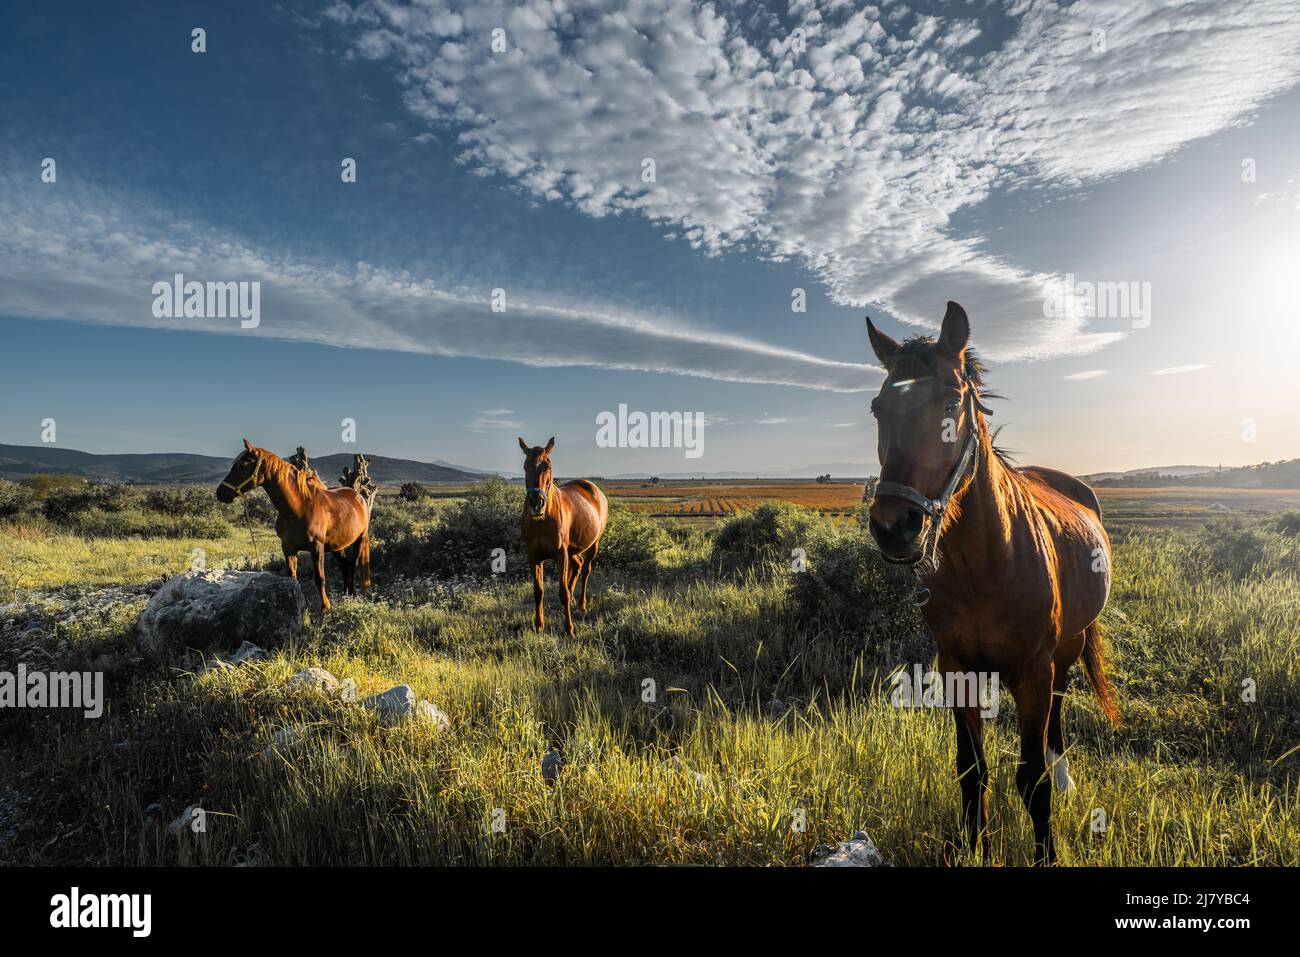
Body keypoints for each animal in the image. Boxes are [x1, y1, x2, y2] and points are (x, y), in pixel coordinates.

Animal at [215, 439, 372, 612]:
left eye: (242, 465)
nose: (220, 493)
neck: (300, 507)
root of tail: (359, 497)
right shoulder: (288, 547)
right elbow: (292, 577)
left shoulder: (317, 547)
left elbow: (320, 578)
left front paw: (325, 607)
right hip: (336, 544)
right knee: (345, 564)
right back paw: (346, 594)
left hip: (359, 539)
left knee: (353, 563)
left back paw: (352, 593)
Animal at [518, 437, 609, 638]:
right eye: (525, 466)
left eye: (548, 466)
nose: (536, 504)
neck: (542, 520)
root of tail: (594, 489)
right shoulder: (534, 556)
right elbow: (538, 591)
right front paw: (539, 625)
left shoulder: (561, 554)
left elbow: (563, 592)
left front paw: (569, 629)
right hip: (572, 550)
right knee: (577, 565)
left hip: (592, 545)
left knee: (585, 569)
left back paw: (581, 605)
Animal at [865, 301, 1117, 865]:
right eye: (877, 408)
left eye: (951, 402)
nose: (894, 526)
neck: (983, 565)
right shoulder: (957, 666)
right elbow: (971, 769)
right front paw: (970, 843)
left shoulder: (1033, 670)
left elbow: (1033, 781)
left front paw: (1046, 851)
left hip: (1066, 648)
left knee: (1059, 710)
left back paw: (1066, 776)